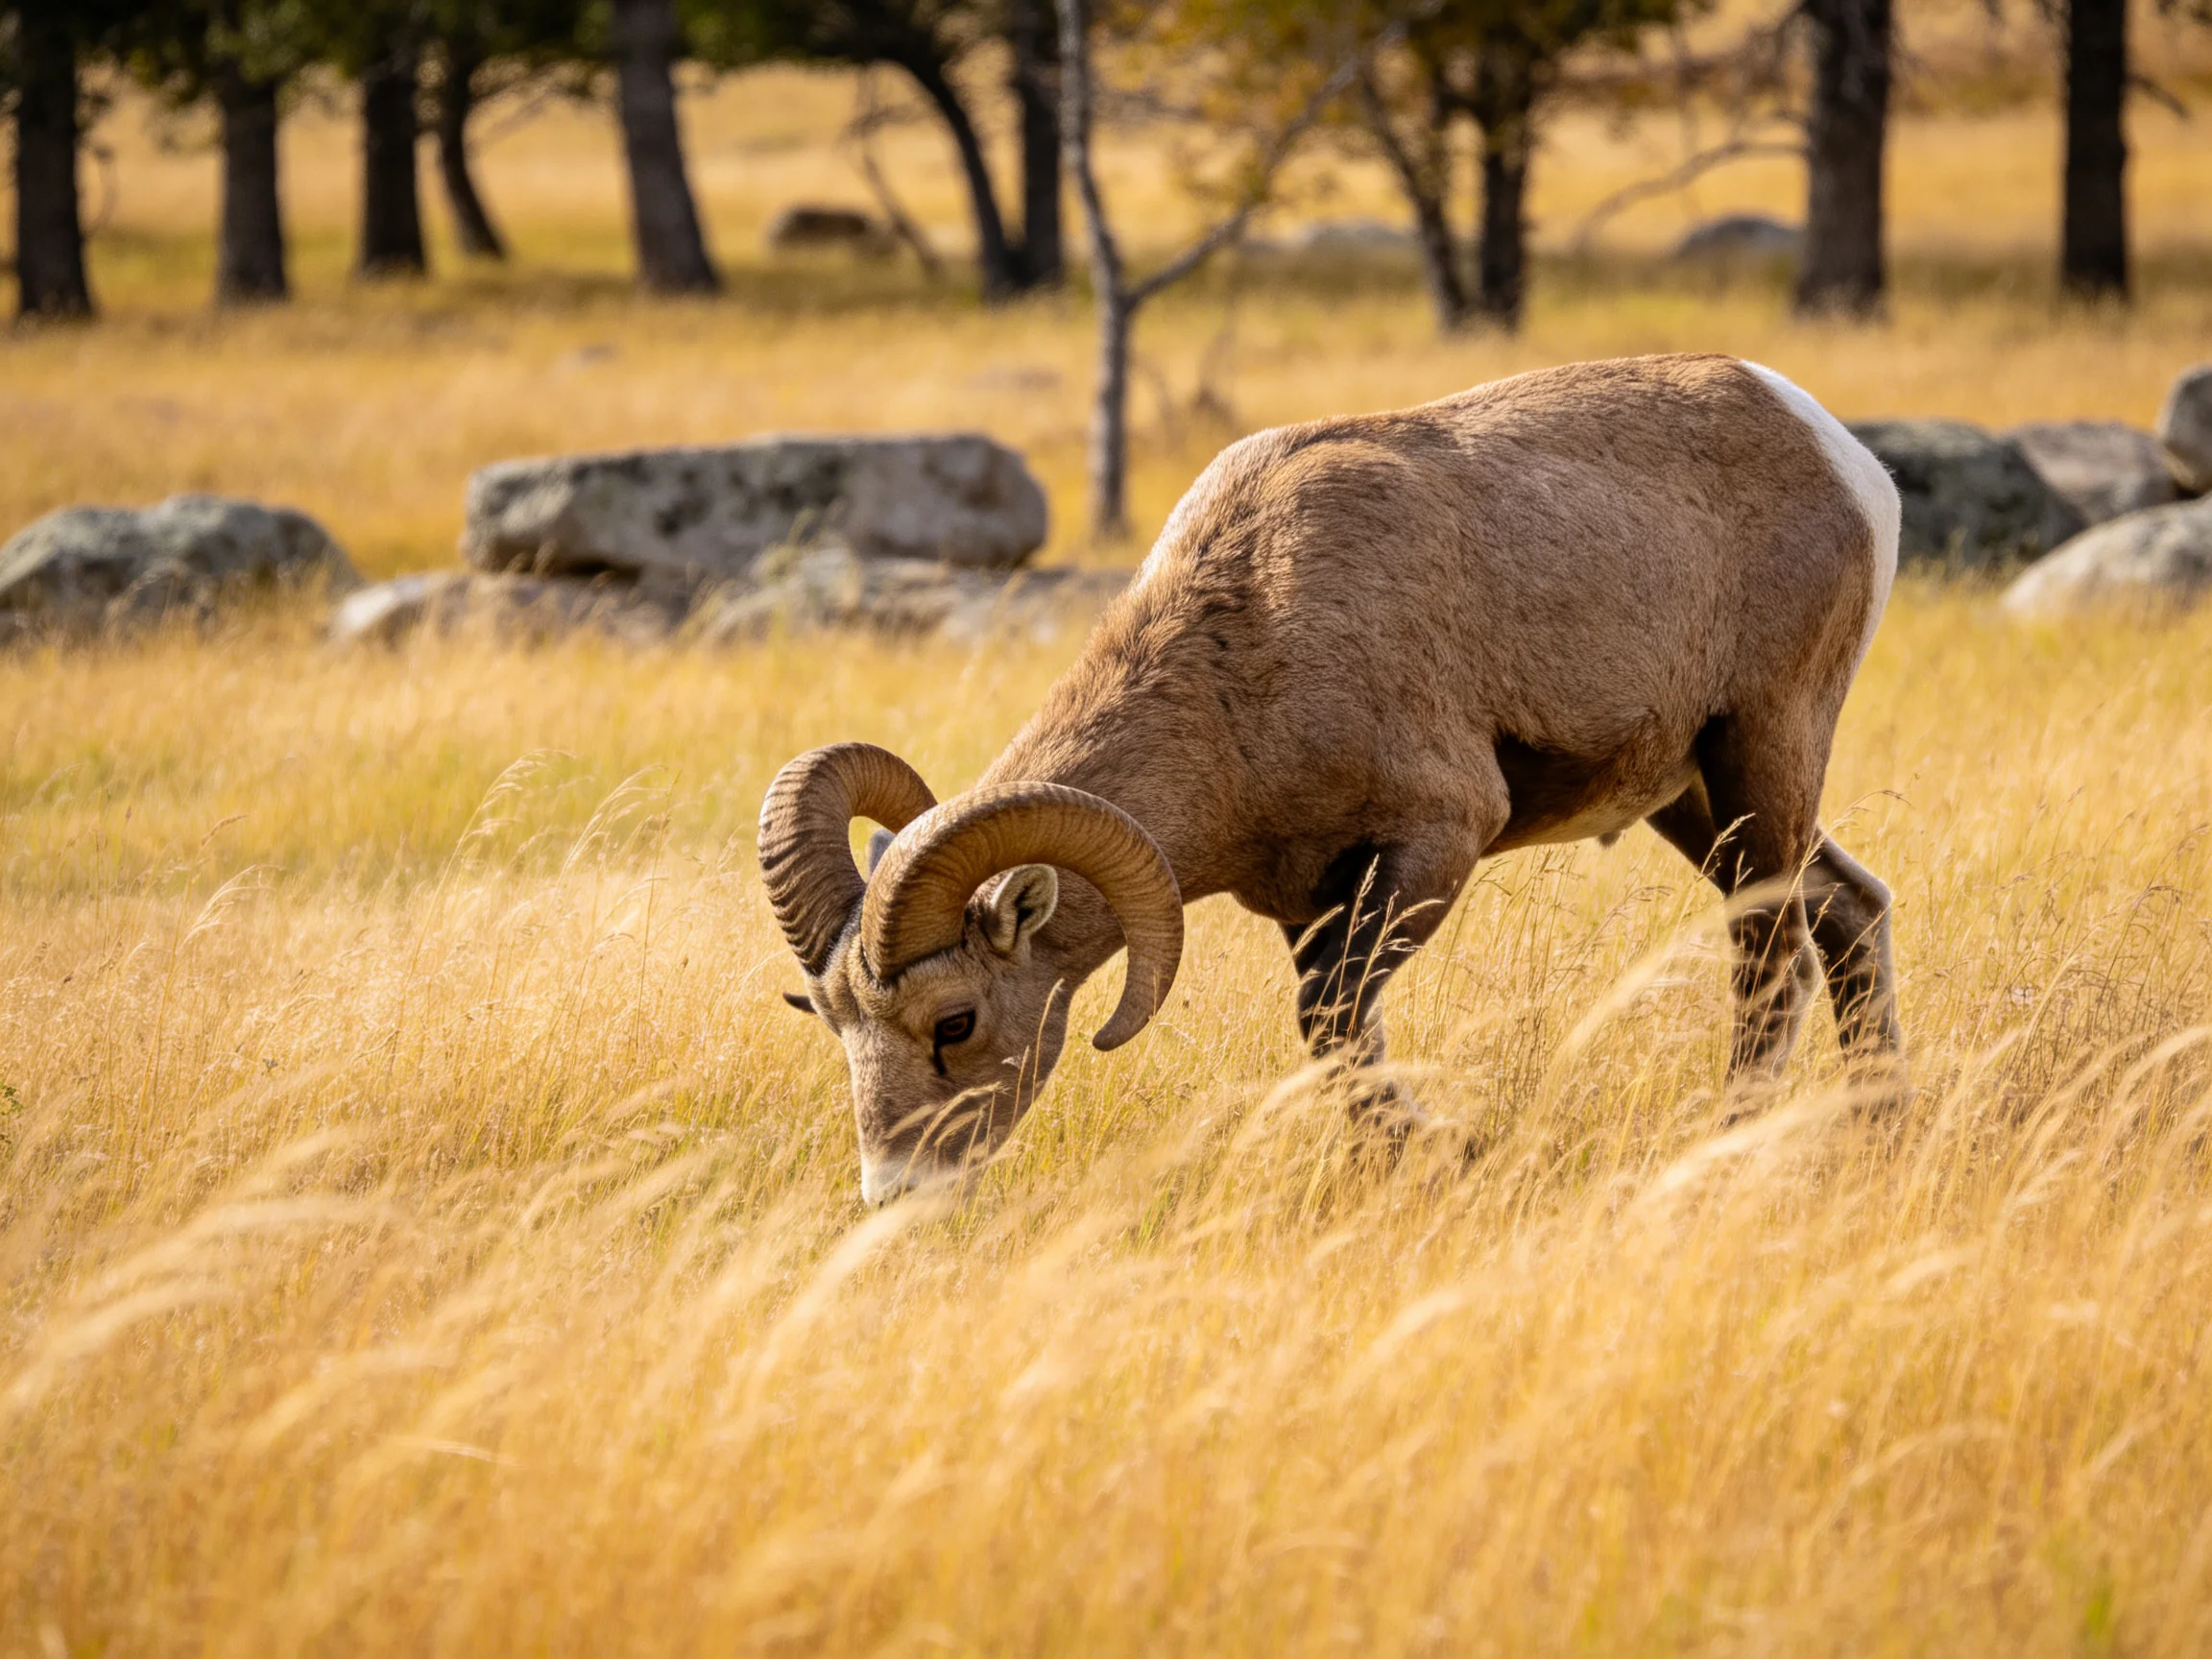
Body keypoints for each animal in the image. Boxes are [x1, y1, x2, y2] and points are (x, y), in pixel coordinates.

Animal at [760, 354, 1905, 1205]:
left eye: (953, 1023)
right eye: (827, 1018)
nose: (894, 1194)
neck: (1251, 643)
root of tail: (1846, 460)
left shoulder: (1435, 841)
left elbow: (1332, 1020)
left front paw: (1442, 1156)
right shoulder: (1306, 899)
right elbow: (1340, 1040)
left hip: (1763, 749)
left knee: (1771, 952)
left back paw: (1732, 1144)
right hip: (1697, 800)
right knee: (1848, 911)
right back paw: (1879, 1128)